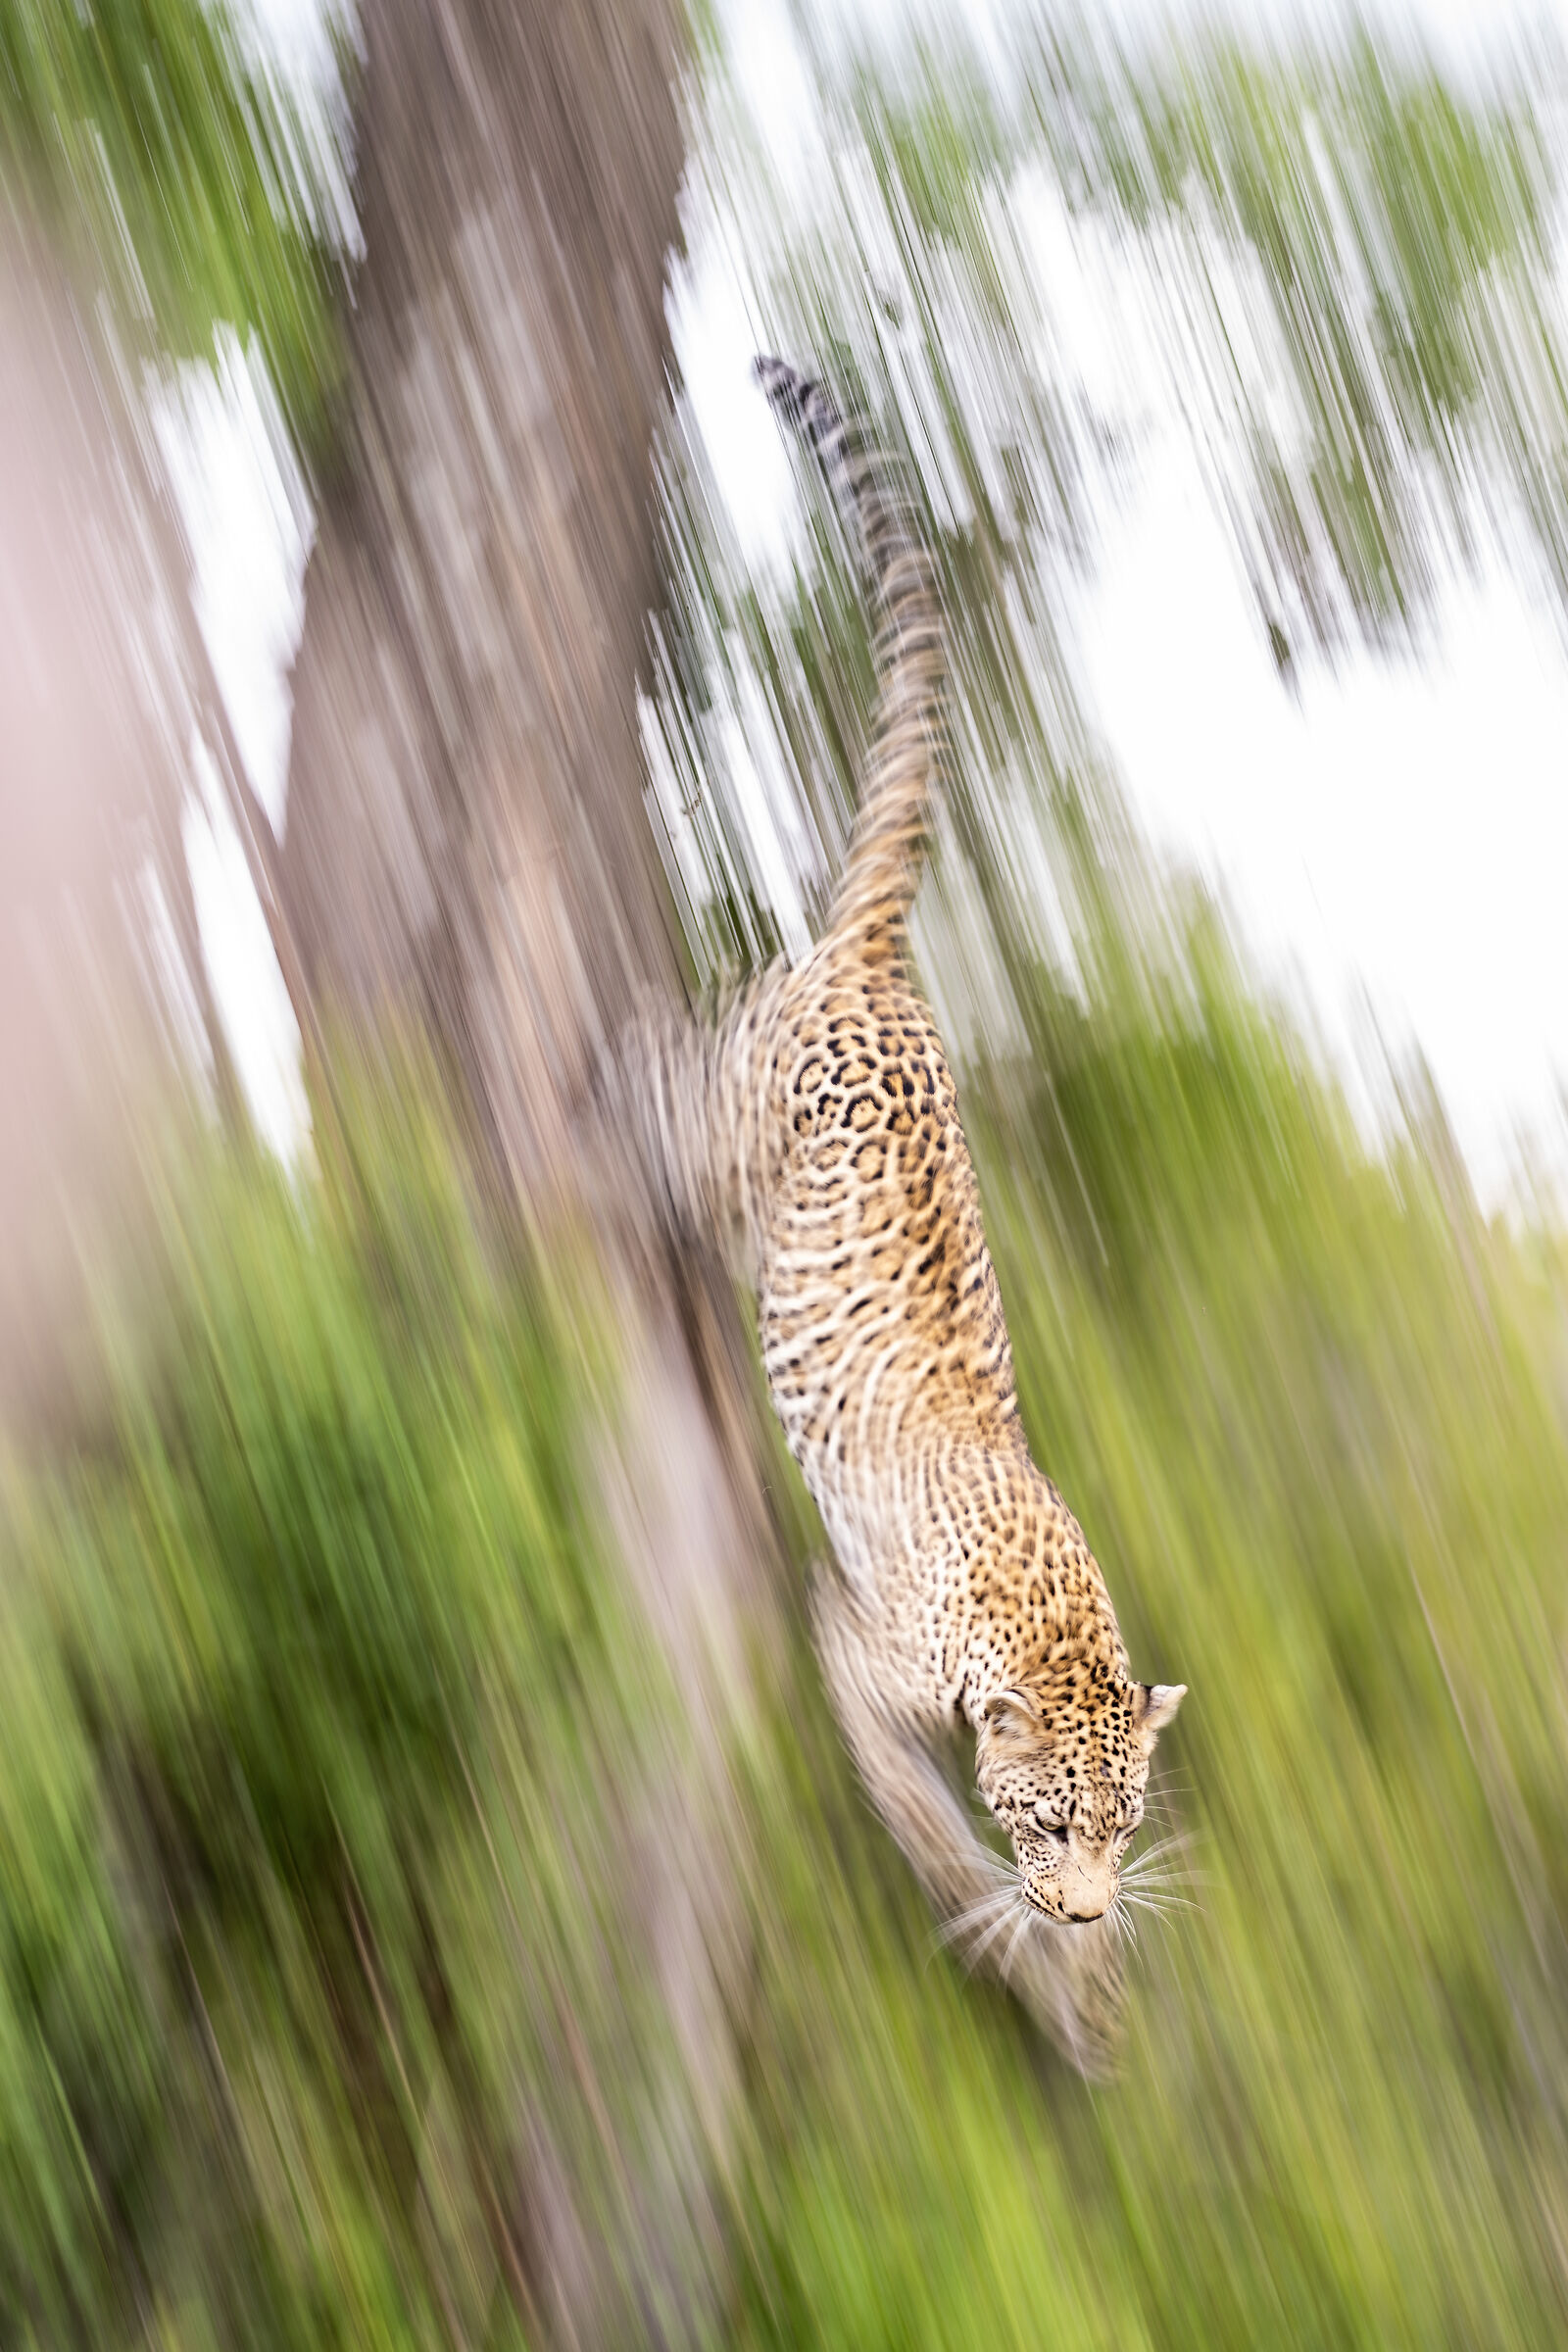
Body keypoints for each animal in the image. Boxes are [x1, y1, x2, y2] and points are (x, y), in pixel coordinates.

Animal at [619, 356, 1186, 2073]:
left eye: (1123, 1826)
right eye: (1053, 1818)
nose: (1089, 1904)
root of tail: (882, 963)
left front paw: (1087, 1987)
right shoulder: (850, 1655)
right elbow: (923, 1814)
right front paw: (1010, 1935)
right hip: (735, 1117)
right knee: (671, 1085)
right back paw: (607, 1067)